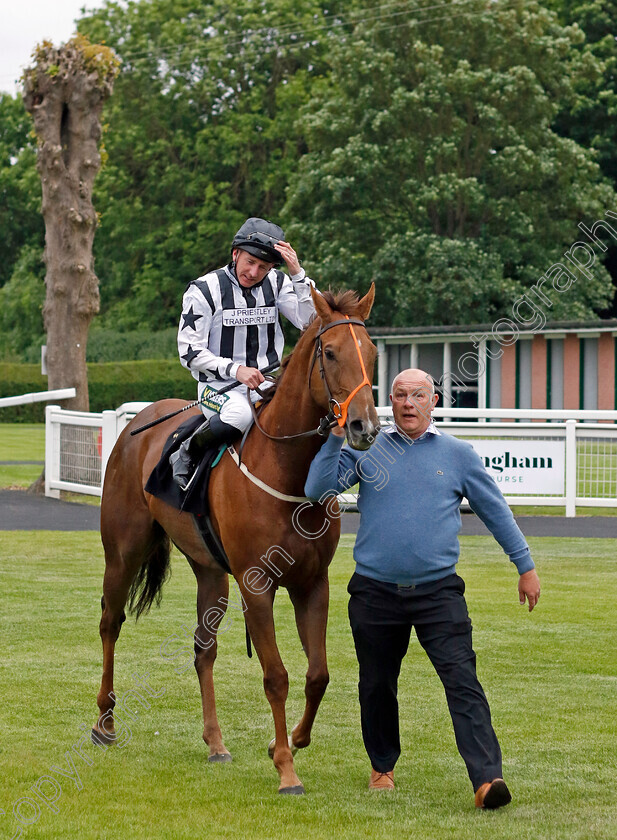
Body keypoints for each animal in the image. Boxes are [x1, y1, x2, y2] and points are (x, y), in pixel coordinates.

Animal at [93, 286, 378, 792]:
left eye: (373, 352)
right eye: (329, 352)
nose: (364, 427)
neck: (286, 471)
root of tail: (137, 422)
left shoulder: (312, 583)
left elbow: (318, 674)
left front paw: (290, 743)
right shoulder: (256, 584)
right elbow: (276, 676)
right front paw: (285, 768)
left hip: (210, 570)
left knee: (203, 649)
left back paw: (216, 743)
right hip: (123, 551)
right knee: (111, 622)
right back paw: (104, 723)